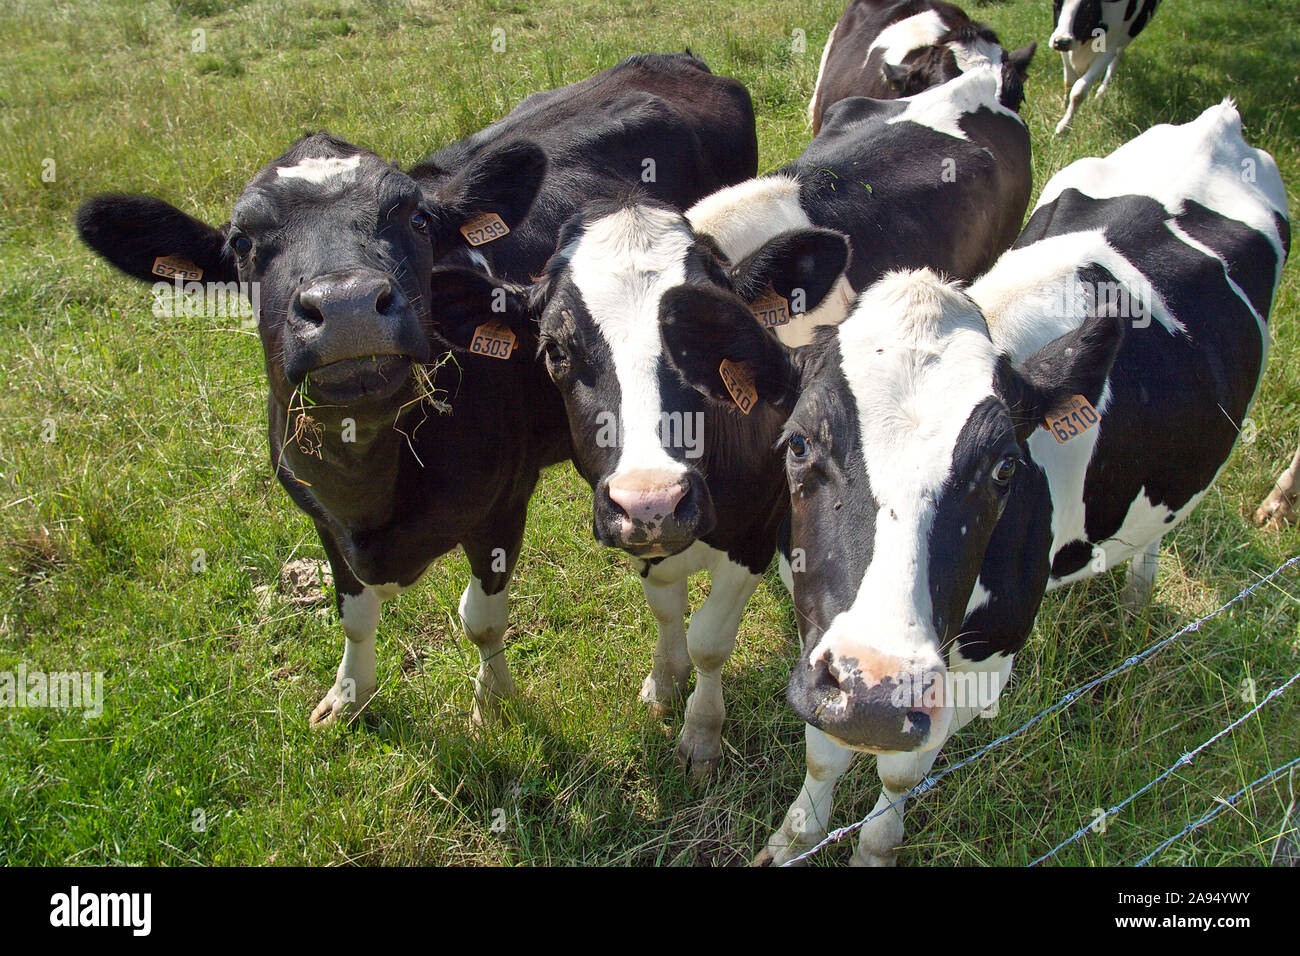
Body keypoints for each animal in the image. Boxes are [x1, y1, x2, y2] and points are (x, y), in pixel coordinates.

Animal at [75, 52, 758, 729]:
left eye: (418, 218)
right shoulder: (322, 518)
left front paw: (492, 704)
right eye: (242, 242)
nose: (347, 304)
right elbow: (354, 615)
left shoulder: (503, 502)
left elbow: (481, 620)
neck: (371, 487)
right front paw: (349, 696)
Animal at [422, 63, 1031, 779]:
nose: (652, 499)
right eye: (556, 351)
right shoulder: (653, 533)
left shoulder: (759, 526)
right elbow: (665, 605)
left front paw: (700, 735)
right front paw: (663, 684)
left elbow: (712, 639)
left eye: (690, 341)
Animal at [661, 100, 1289, 864]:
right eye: (799, 444)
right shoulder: (822, 627)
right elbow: (824, 752)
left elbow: (899, 775)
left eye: (1005, 469)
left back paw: (1138, 596)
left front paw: (872, 846)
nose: (881, 692)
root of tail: (1216, 122)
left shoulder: (987, 657)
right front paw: (792, 840)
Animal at [1050, 0, 1162, 135]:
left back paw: (1101, 93)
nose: (1062, 41)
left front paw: (1064, 126)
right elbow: (1069, 82)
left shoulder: (1109, 49)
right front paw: (1064, 107)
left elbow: (1078, 92)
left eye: (1088, 6)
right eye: (1056, 2)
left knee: (1118, 55)